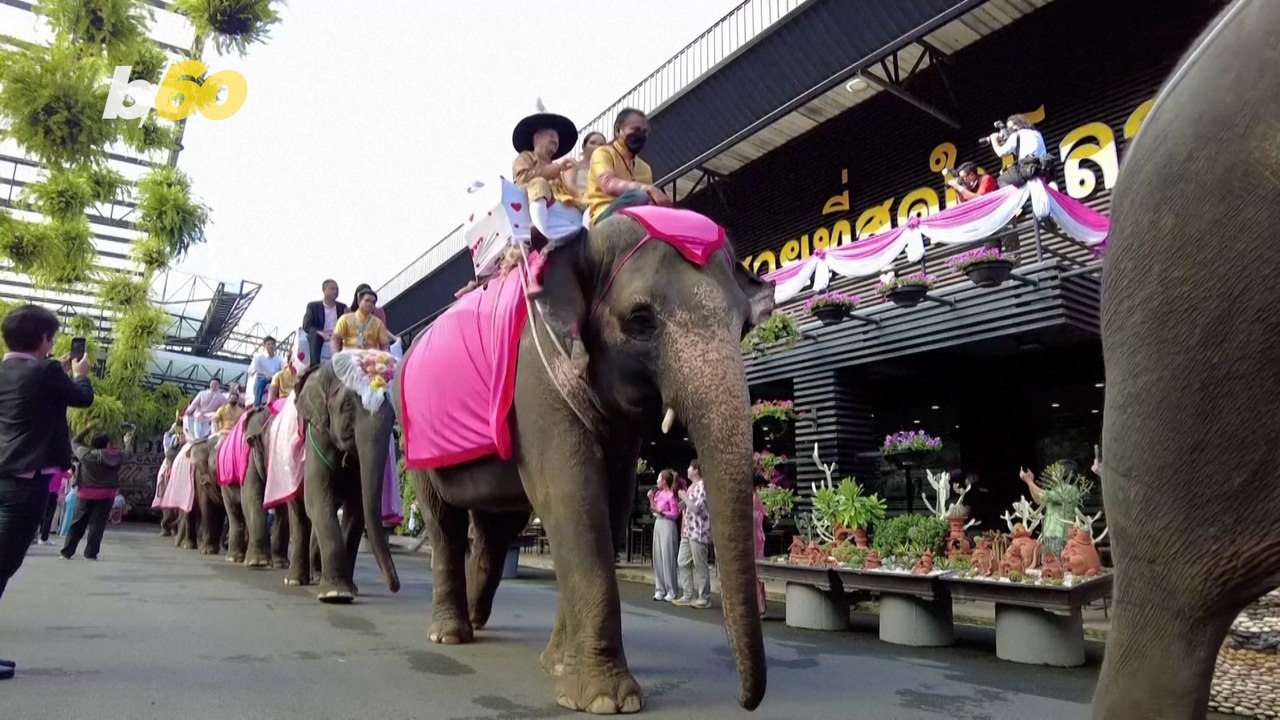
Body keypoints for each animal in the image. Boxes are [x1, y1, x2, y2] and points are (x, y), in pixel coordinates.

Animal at [290, 363, 401, 603]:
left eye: (393, 416)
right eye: (348, 404)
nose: (395, 587)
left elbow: (357, 510)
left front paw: (349, 590)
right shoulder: (317, 434)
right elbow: (317, 499)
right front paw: (335, 594)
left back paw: (316, 575)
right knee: (300, 515)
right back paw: (294, 580)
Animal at [395, 212, 775, 714]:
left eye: (744, 324)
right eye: (640, 319)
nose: (745, 701)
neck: (582, 244)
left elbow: (609, 506)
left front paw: (557, 665)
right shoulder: (535, 383)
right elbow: (571, 496)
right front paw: (606, 702)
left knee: (497, 529)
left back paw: (476, 620)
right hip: (415, 438)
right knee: (445, 524)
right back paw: (449, 635)